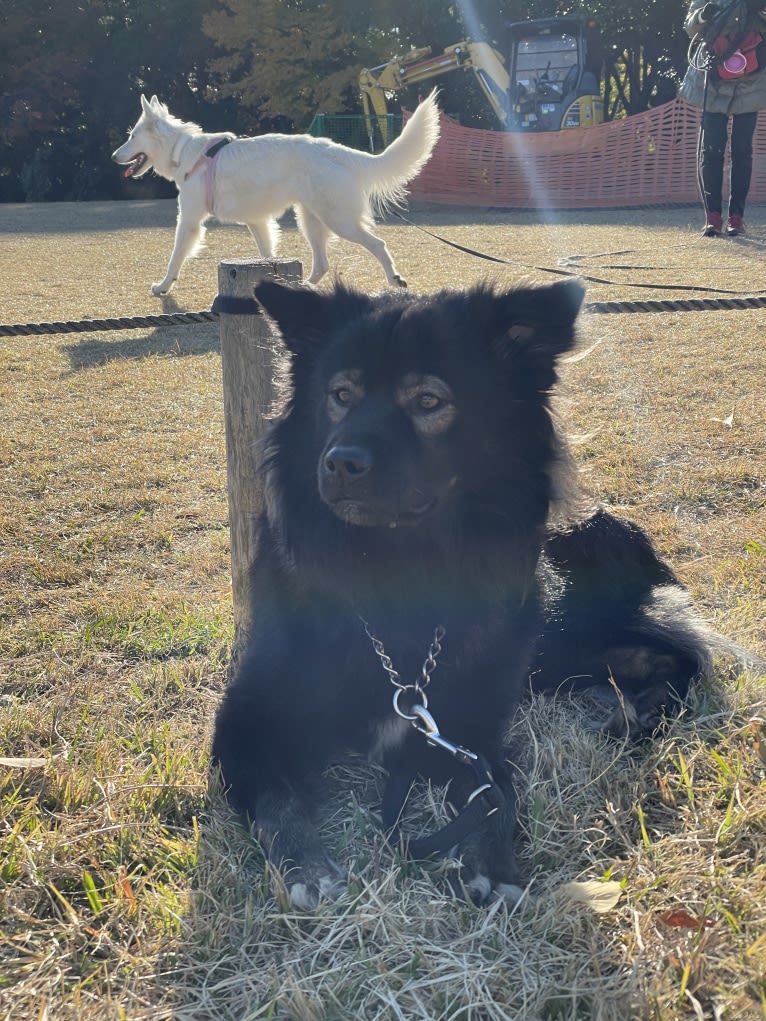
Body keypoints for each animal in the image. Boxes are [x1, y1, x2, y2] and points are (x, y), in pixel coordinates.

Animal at [110, 91, 441, 296]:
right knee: (322, 264)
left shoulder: (189, 222)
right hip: (311, 221)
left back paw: (394, 280)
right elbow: (269, 258)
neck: (184, 151)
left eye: (131, 136)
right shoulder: (258, 223)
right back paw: (304, 287)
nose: (113, 157)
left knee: (378, 244)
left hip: (339, 221)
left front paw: (163, 286)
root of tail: (337, 150)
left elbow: (175, 257)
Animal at [213, 279, 719, 910]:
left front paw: (491, 862)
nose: (339, 463)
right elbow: (278, 796)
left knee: (683, 655)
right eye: (341, 394)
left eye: (428, 402)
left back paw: (638, 712)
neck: (400, 571)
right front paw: (307, 866)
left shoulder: (472, 733)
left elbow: (496, 795)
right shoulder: (249, 718)